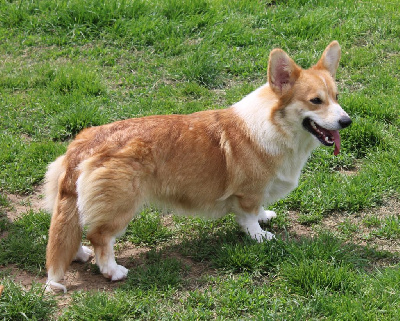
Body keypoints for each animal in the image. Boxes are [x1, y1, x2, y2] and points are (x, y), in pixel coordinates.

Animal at [43, 41, 350, 292]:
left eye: (336, 97)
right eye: (315, 101)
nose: (347, 121)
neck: (276, 125)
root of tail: (86, 142)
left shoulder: (257, 192)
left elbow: (258, 210)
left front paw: (266, 216)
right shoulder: (248, 192)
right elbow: (249, 217)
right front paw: (260, 236)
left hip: (74, 201)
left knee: (72, 229)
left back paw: (79, 253)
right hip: (121, 205)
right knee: (100, 237)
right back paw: (112, 270)